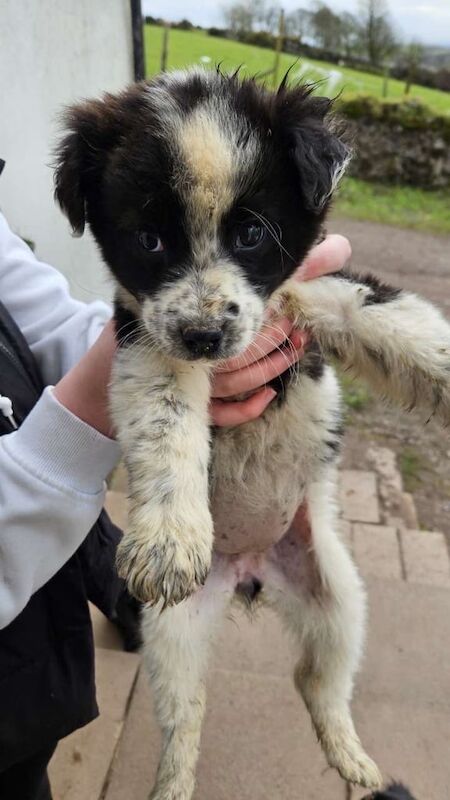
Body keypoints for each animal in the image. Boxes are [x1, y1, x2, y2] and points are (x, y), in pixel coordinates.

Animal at [54, 70, 448, 800]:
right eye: (148, 240)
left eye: (252, 234)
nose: (204, 337)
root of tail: (251, 573)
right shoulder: (146, 338)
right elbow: (166, 415)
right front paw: (170, 537)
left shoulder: (315, 287)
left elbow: (391, 316)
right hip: (172, 631)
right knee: (187, 716)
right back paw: (174, 785)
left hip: (341, 597)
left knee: (316, 679)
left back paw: (354, 761)